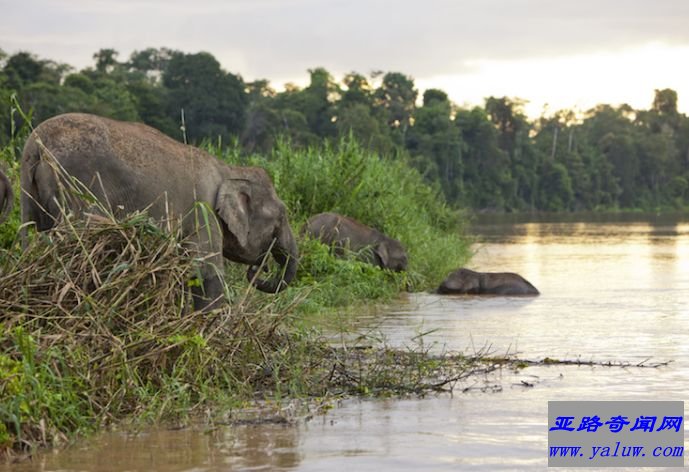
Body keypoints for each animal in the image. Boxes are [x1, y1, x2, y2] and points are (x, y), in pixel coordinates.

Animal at [20, 110, 296, 310]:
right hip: (78, 187)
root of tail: (37, 146)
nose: (260, 268)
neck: (229, 169)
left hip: (30, 195)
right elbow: (206, 272)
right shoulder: (203, 212)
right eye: (281, 217)